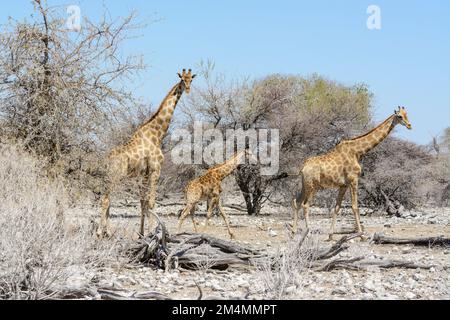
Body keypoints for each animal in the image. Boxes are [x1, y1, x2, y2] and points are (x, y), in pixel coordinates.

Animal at [97, 68, 196, 238]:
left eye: (191, 79)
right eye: (183, 79)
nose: (188, 89)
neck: (157, 134)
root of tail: (106, 159)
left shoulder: (143, 174)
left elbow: (142, 202)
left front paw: (142, 233)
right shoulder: (156, 170)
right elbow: (151, 202)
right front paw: (152, 232)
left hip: (109, 177)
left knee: (108, 201)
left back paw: (107, 232)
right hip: (115, 176)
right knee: (106, 200)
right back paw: (99, 232)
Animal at [292, 107, 412, 240]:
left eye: (407, 114)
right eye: (400, 116)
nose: (409, 125)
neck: (357, 151)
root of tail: (303, 167)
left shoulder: (343, 185)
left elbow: (337, 207)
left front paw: (331, 235)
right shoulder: (354, 179)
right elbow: (355, 207)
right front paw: (361, 235)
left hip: (305, 185)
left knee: (297, 201)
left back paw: (293, 232)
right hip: (313, 186)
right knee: (305, 205)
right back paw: (308, 233)